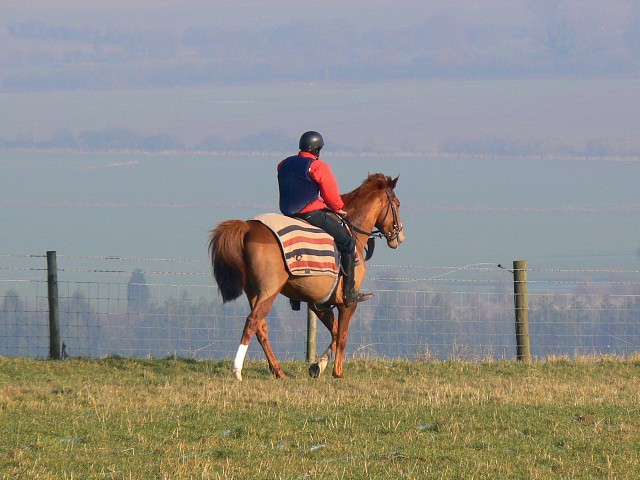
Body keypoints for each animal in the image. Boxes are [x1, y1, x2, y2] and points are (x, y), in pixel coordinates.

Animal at [208, 172, 402, 378]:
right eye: (397, 204)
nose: (399, 235)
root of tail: (247, 227)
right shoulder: (347, 303)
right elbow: (342, 335)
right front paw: (337, 372)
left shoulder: (318, 304)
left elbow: (334, 332)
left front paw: (318, 366)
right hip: (269, 291)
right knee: (252, 322)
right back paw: (237, 370)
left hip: (253, 292)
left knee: (261, 327)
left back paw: (278, 371)